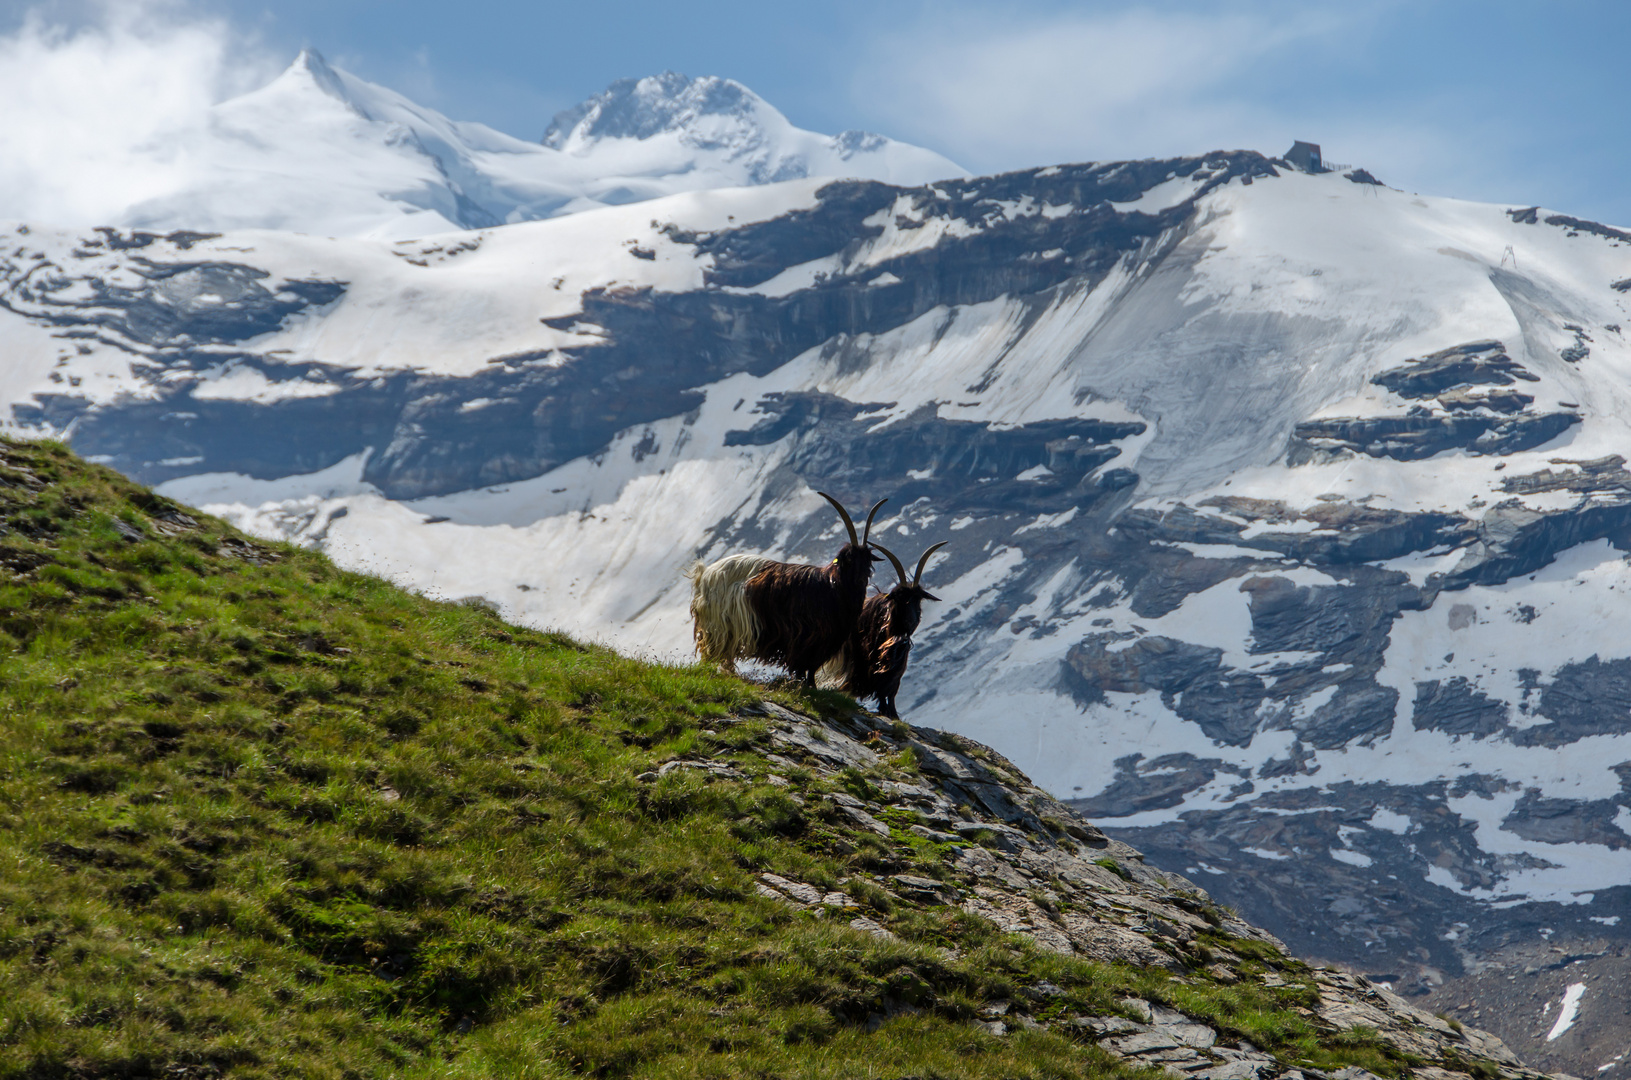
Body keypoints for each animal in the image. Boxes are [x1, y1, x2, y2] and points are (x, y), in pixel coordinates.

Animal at [685, 492, 887, 685]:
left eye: (868, 560)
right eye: (850, 558)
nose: (861, 579)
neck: (832, 586)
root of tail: (704, 574)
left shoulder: (824, 640)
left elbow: (811, 667)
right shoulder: (807, 638)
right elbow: (805, 666)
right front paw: (806, 686)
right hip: (719, 626)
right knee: (713, 653)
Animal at [822, 538, 952, 717]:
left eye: (918, 600)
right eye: (899, 598)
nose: (911, 622)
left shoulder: (897, 666)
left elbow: (891, 690)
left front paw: (893, 712)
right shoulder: (868, 662)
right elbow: (880, 687)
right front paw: (885, 710)